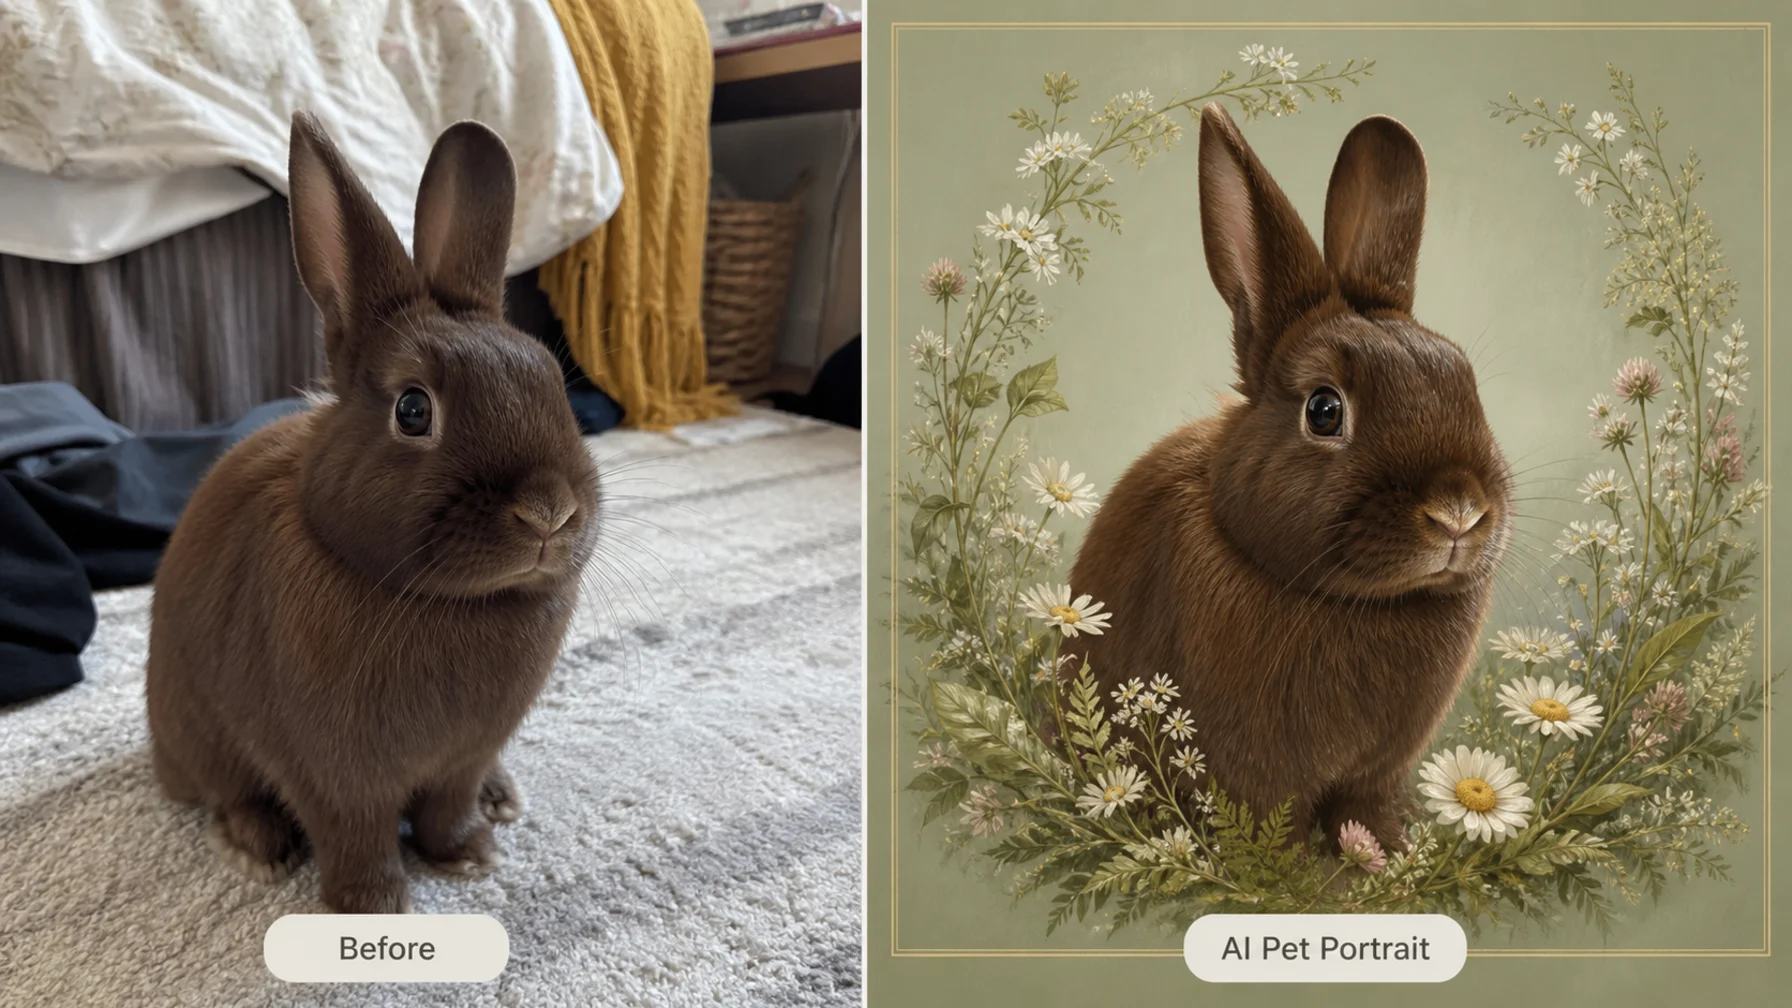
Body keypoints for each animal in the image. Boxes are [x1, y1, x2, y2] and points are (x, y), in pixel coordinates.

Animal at [145, 112, 600, 913]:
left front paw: (468, 856)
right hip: (196, 734)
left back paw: (501, 799)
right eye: (413, 410)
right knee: (224, 792)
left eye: (553, 383)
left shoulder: (463, 756)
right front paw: (374, 903)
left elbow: (448, 805)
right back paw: (255, 849)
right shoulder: (329, 773)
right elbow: (353, 832)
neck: (450, 604)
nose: (549, 512)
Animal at [1062, 104, 1512, 853]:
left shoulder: (1376, 775)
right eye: (1324, 410)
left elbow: (1367, 813)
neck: (1356, 603)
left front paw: (1388, 854)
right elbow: (1271, 839)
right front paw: (1309, 871)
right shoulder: (1251, 778)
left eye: (1467, 383)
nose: (1458, 512)